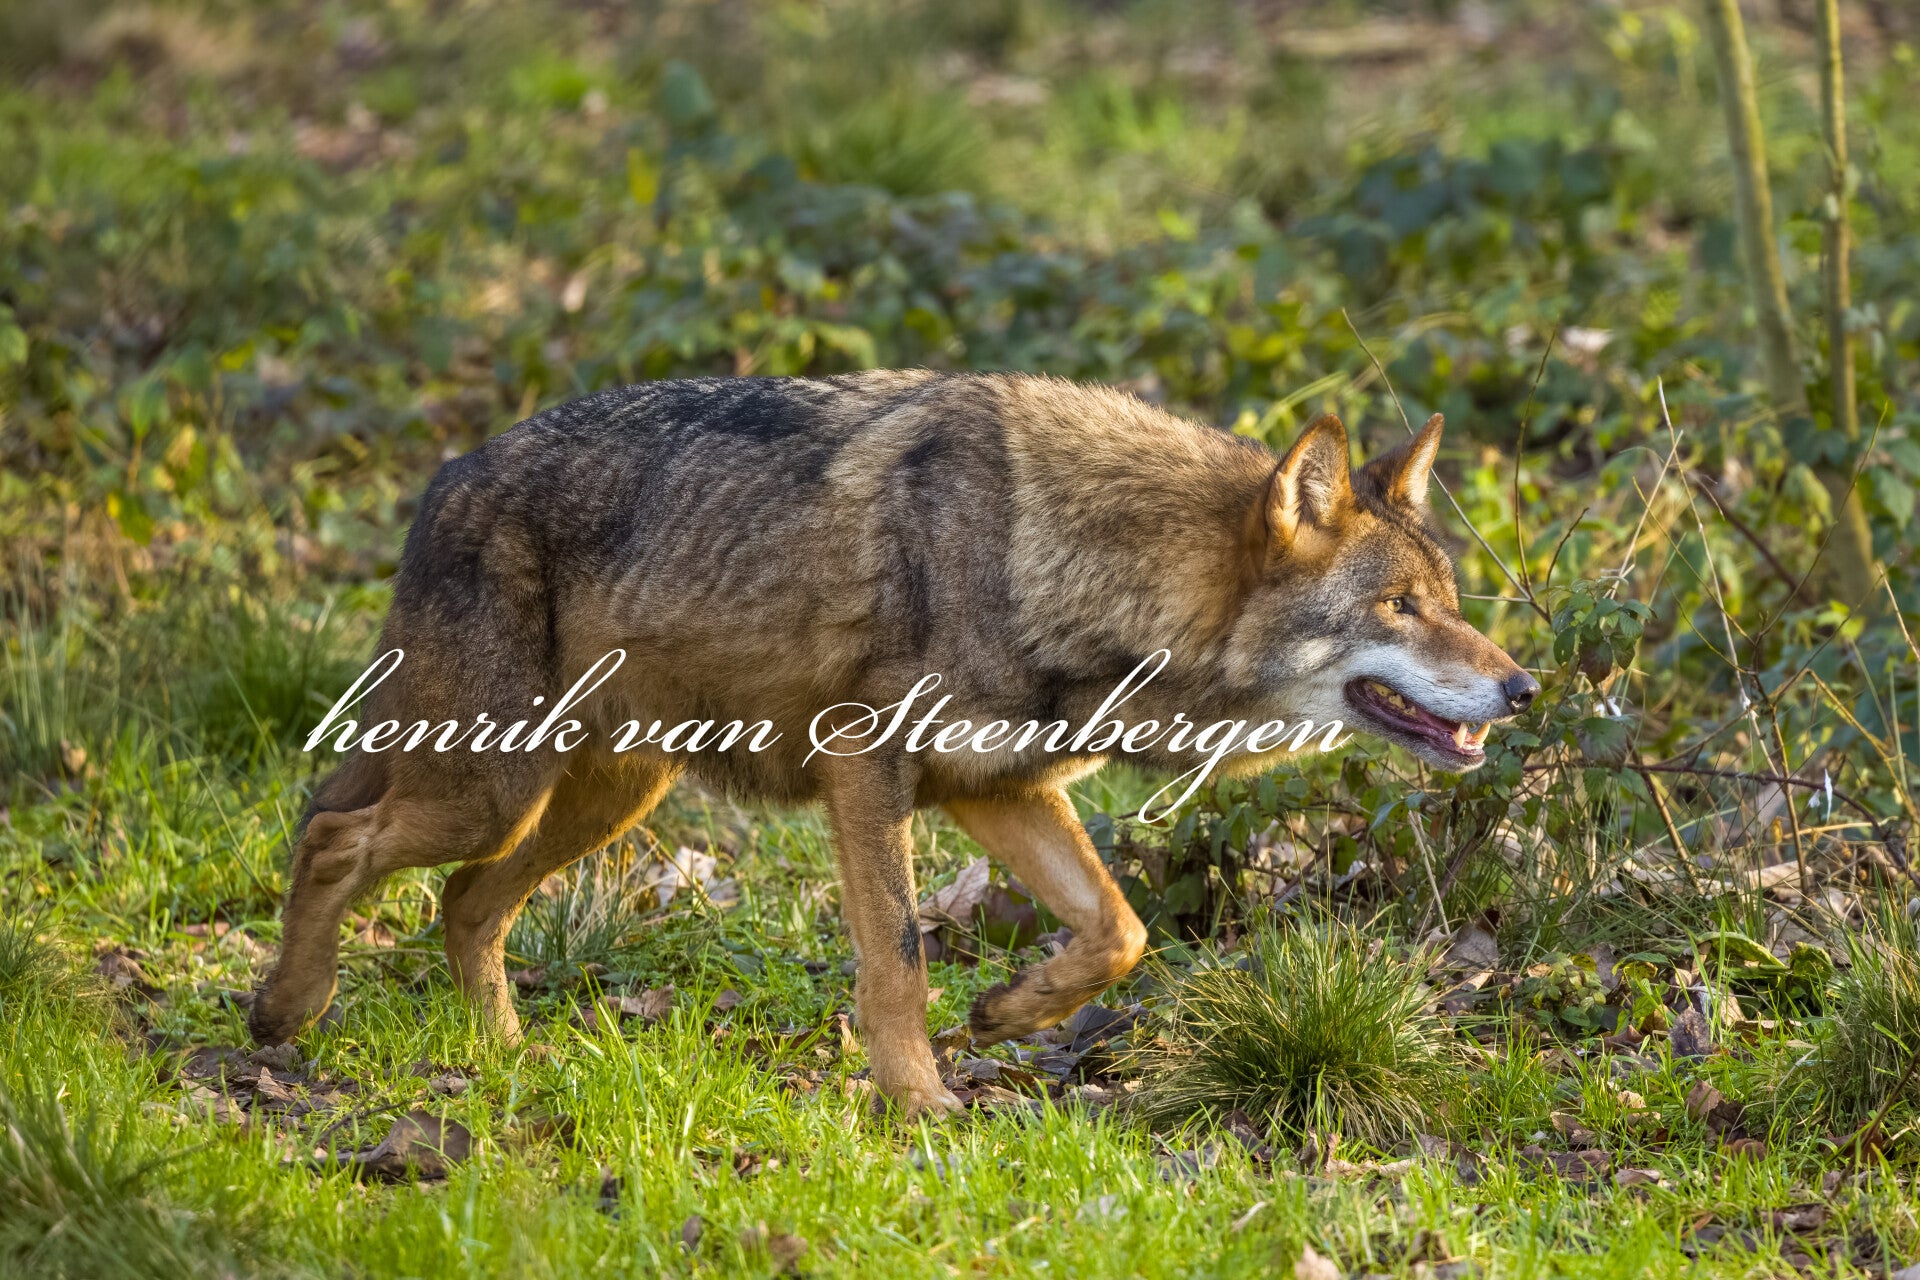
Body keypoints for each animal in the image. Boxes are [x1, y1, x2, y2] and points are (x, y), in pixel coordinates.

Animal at [249, 371, 1538, 1118]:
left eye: (1449, 600)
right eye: (1400, 608)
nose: (1523, 686)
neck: (1067, 558)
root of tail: (447, 477)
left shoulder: (997, 788)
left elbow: (1116, 931)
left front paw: (1009, 1015)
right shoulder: (865, 766)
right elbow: (899, 960)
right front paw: (921, 1104)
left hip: (606, 794)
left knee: (462, 899)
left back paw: (512, 1060)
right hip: (496, 782)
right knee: (334, 835)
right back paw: (285, 1012)